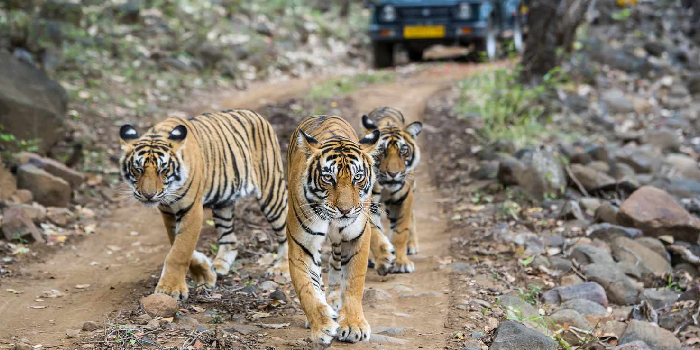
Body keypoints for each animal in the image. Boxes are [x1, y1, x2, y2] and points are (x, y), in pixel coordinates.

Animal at [119, 108, 288, 298]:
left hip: (272, 192)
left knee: (285, 231)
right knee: (230, 239)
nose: (149, 195)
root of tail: (255, 114)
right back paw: (220, 266)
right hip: (223, 203)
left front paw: (170, 289)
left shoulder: (191, 209)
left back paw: (282, 268)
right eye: (138, 169)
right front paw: (205, 273)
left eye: (163, 170)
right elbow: (175, 243)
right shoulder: (168, 212)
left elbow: (180, 250)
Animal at [284, 115, 382, 344]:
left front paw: (354, 325)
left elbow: (353, 283)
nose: (345, 210)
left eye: (358, 177)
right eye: (328, 178)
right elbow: (307, 288)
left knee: (337, 264)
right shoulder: (302, 244)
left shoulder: (357, 237)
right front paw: (322, 326)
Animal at [360, 106, 422, 274]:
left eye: (403, 151)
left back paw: (412, 245)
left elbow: (400, 232)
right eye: (382, 152)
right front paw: (384, 259)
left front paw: (401, 262)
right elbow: (374, 233)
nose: (393, 174)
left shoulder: (404, 199)